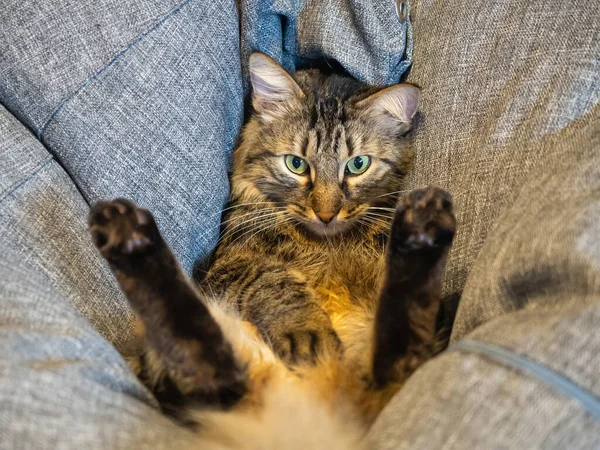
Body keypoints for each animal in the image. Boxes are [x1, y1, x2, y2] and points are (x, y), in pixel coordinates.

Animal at [86, 51, 458, 446]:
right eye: (296, 164)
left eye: (358, 165)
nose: (326, 214)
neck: (327, 243)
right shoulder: (231, 265)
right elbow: (275, 282)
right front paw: (307, 332)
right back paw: (124, 229)